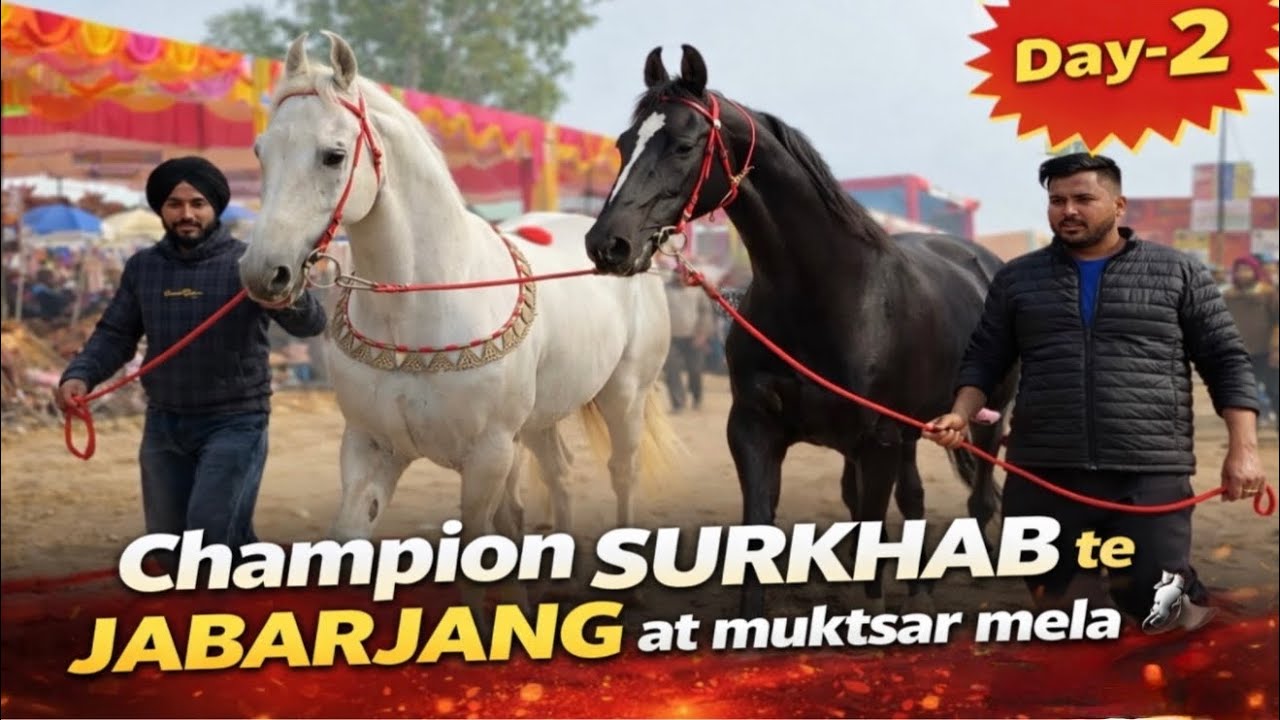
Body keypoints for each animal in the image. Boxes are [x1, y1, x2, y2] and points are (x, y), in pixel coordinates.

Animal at [237, 31, 679, 613]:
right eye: (260, 152)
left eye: (333, 155)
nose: (264, 272)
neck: (418, 311)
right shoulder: (369, 446)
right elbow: (351, 535)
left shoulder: (489, 454)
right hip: (539, 419)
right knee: (560, 472)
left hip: (624, 393)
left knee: (623, 472)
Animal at [583, 44, 1019, 617]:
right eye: (623, 143)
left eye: (683, 145)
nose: (607, 244)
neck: (834, 297)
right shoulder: (754, 429)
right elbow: (762, 529)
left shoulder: (875, 440)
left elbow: (873, 535)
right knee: (914, 497)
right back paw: (920, 585)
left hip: (985, 419)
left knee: (982, 498)